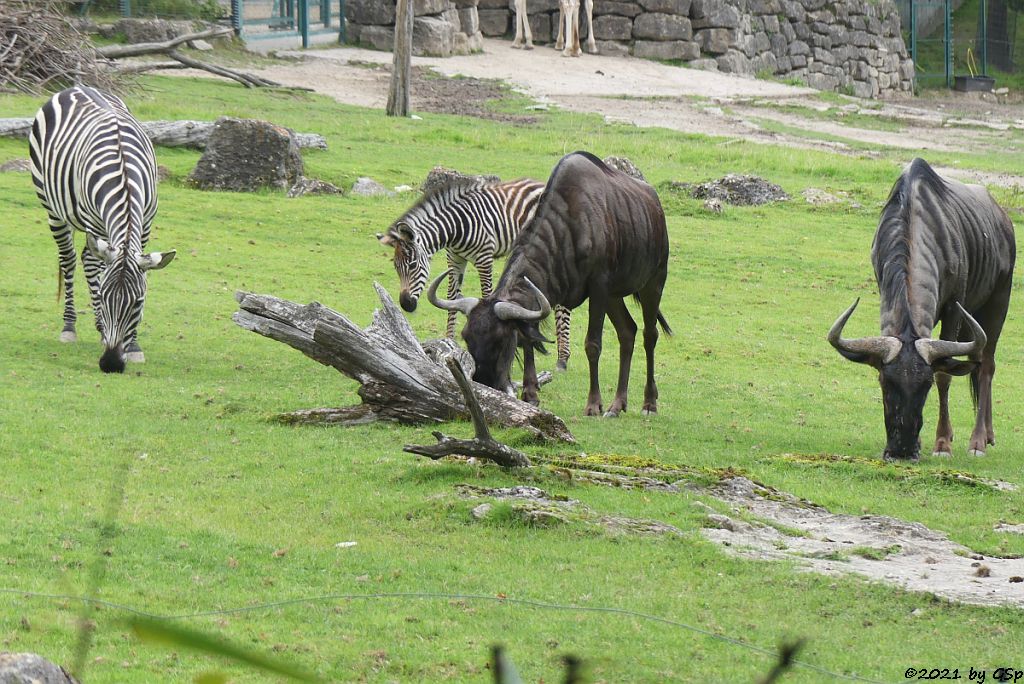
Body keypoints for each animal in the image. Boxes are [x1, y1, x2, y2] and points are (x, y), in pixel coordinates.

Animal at [29, 87, 175, 374]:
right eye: (106, 298)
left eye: (138, 303)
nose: (111, 364)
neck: (125, 177)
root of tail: (75, 87)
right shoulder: (95, 224)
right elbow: (94, 275)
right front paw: (100, 326)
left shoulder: (145, 225)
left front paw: (134, 346)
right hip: (52, 208)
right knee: (72, 260)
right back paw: (70, 327)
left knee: (87, 257)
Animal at [376, 176, 573, 368]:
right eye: (396, 267)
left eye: (413, 265)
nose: (406, 304)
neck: (456, 226)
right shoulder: (454, 259)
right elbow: (451, 297)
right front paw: (449, 341)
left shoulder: (484, 259)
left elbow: (486, 294)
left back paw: (562, 359)